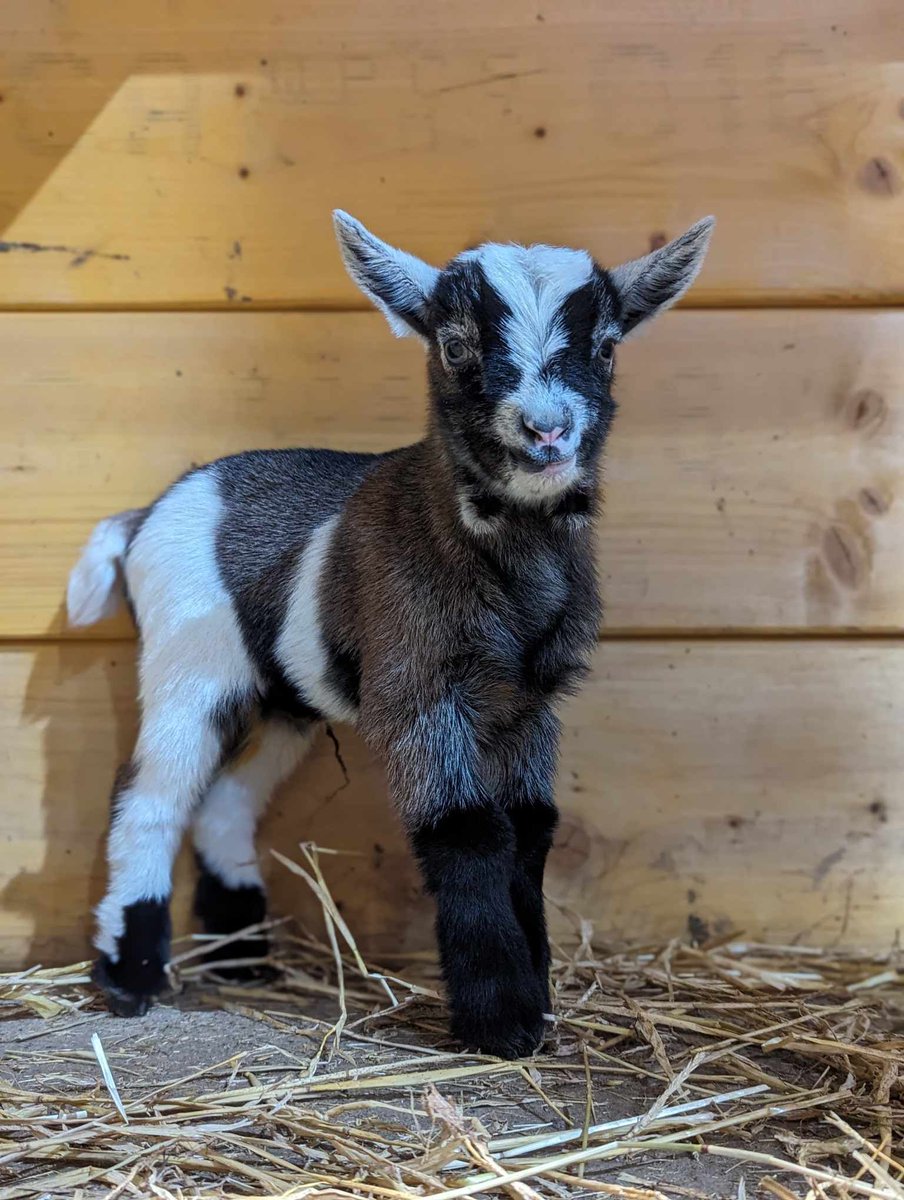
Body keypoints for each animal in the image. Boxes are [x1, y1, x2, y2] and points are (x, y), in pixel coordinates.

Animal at [66, 211, 710, 1056]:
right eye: (456, 345)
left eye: (605, 345)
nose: (546, 431)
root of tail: (146, 514)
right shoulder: (419, 688)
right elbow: (465, 831)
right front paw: (500, 1019)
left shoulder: (528, 702)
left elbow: (530, 829)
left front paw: (536, 999)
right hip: (189, 665)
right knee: (150, 796)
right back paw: (131, 975)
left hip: (283, 698)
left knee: (225, 801)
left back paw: (243, 958)